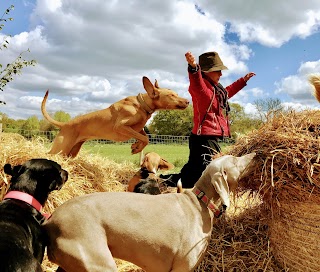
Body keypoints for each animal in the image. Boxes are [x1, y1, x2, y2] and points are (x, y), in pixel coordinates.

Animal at [41, 76, 189, 157]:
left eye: (176, 94)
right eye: (172, 95)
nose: (188, 101)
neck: (141, 105)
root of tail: (65, 124)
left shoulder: (138, 128)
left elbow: (144, 137)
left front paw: (137, 146)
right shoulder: (120, 126)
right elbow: (145, 138)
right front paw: (136, 147)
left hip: (71, 151)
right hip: (60, 148)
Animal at [43, 153, 256, 272]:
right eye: (235, 160)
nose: (254, 154)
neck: (199, 203)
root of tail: (50, 221)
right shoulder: (182, 268)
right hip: (97, 263)